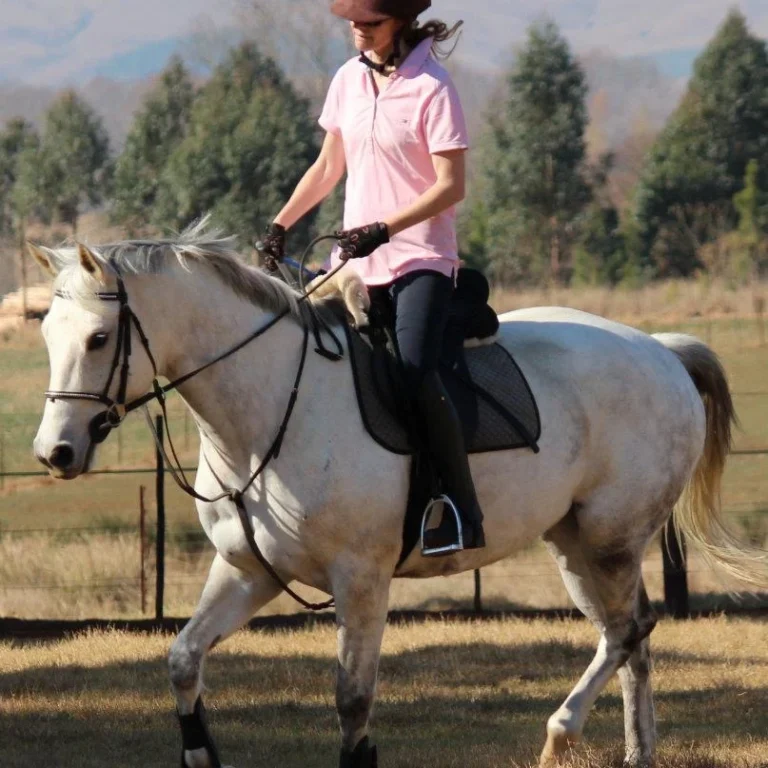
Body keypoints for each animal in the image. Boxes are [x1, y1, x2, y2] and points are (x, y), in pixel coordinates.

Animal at [29, 222, 767, 768]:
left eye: (99, 338)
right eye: (45, 336)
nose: (55, 453)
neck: (270, 408)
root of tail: (661, 351)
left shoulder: (361, 580)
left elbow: (353, 700)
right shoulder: (246, 572)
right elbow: (183, 661)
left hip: (611, 541)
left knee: (627, 632)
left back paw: (561, 733)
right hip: (578, 546)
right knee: (628, 634)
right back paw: (638, 752)